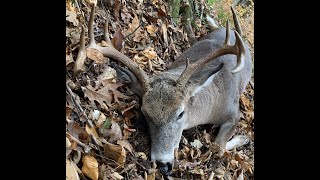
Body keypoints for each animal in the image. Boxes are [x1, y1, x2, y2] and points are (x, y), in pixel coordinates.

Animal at [75, 2, 252, 175]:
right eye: (145, 113)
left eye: (180, 113)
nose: (163, 165)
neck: (211, 102)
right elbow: (217, 147)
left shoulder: (234, 113)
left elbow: (218, 147)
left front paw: (244, 138)